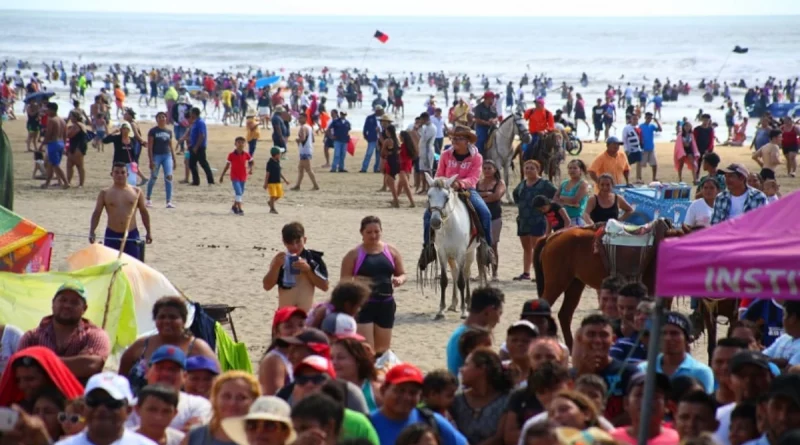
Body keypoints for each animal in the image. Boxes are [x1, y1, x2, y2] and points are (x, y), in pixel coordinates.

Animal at [424, 171, 488, 320]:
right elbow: (444, 280)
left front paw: (464, 311)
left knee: (465, 273)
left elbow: (461, 281)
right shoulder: (442, 253)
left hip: (470, 253)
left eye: (446, 197)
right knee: (454, 273)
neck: (450, 226)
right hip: (451, 256)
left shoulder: (461, 253)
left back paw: (468, 303)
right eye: (429, 195)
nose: (435, 222)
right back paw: (453, 304)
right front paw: (441, 310)